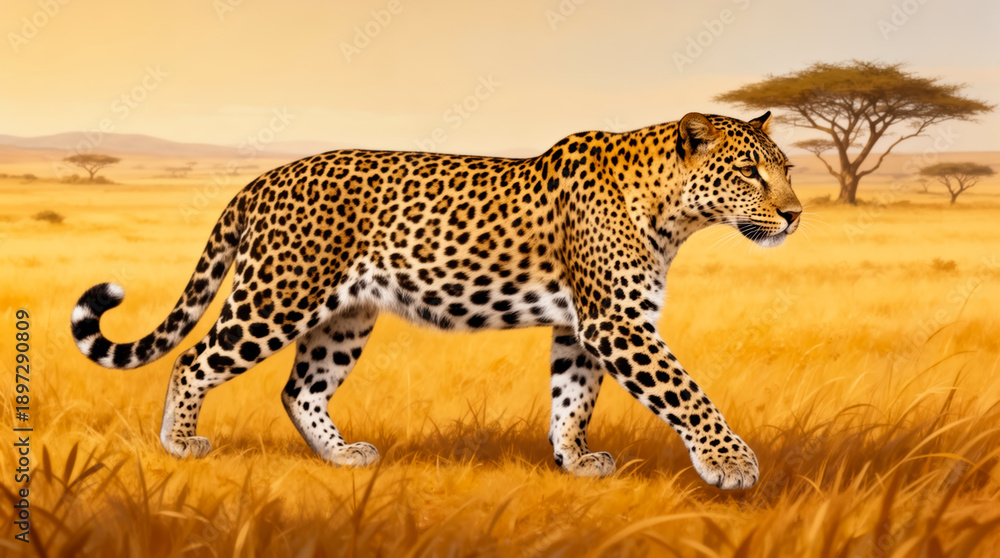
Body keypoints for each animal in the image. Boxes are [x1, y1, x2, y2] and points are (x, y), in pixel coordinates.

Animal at [71, 111, 801, 489]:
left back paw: (341, 457)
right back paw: (179, 442)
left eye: (787, 169)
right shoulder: (617, 322)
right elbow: (686, 392)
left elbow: (573, 398)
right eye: (749, 173)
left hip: (345, 316)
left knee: (300, 389)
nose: (796, 215)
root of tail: (265, 177)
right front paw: (731, 463)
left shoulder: (582, 327)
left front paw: (573, 460)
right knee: (193, 360)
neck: (673, 211)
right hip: (277, 296)